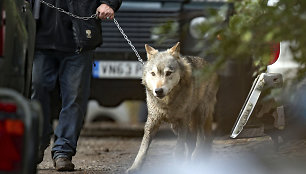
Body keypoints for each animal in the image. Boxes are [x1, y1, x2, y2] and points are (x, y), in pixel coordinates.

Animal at [127, 42, 220, 174]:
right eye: (153, 73)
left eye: (168, 73)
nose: (158, 91)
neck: (167, 104)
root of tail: (210, 65)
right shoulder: (152, 122)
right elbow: (142, 149)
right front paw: (134, 167)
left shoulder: (183, 121)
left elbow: (179, 148)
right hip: (177, 126)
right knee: (193, 141)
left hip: (200, 115)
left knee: (201, 138)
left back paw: (196, 158)